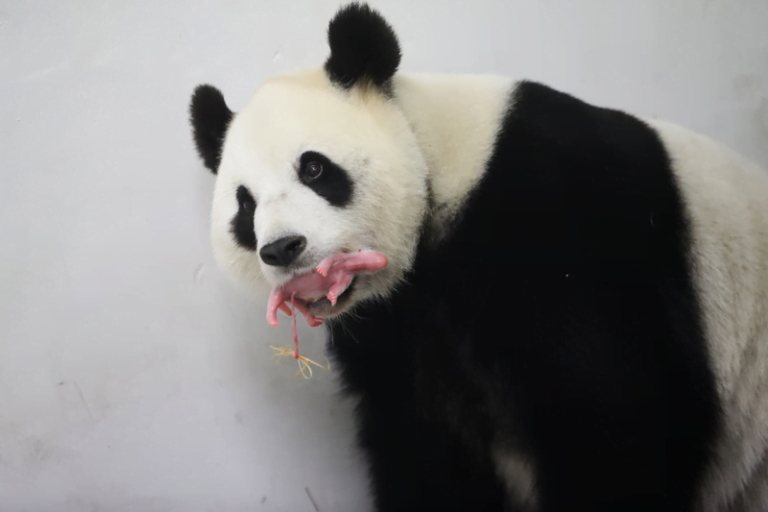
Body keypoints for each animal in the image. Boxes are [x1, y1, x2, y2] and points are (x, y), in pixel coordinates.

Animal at [189, 4, 768, 512]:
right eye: (245, 205)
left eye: (313, 168)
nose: (282, 248)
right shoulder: (397, 326)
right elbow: (419, 443)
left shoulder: (564, 230)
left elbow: (623, 418)